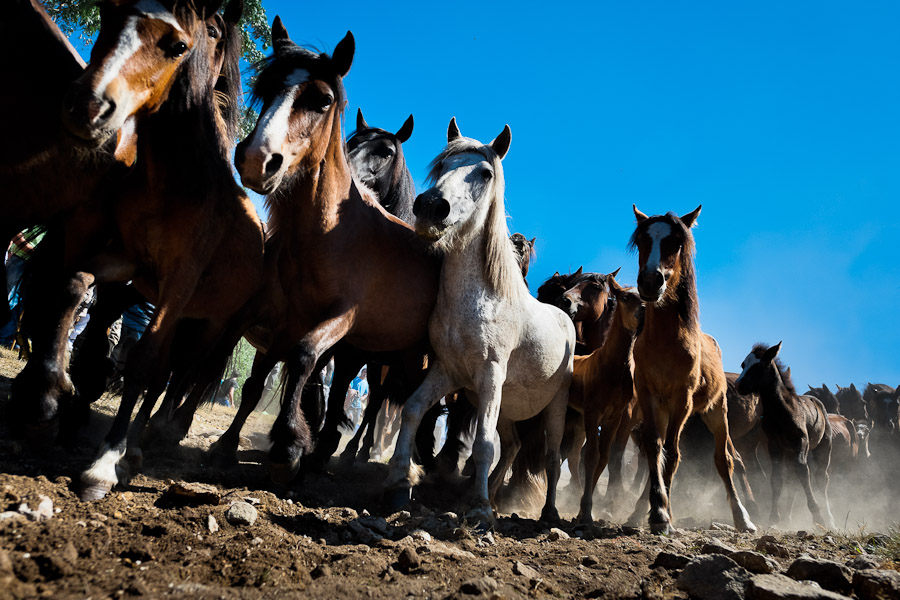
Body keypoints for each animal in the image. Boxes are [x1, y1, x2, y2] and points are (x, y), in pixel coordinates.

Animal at [384, 119, 572, 524]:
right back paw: (489, 494)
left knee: (550, 459)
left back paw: (545, 512)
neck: (482, 300)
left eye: (485, 173)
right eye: (441, 165)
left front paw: (481, 509)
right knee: (513, 446)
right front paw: (399, 481)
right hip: (508, 406)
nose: (432, 207)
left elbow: (483, 444)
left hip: (554, 408)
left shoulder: (490, 376)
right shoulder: (448, 371)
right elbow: (413, 409)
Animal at [628, 206, 756, 536]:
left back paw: (743, 518)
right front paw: (658, 510)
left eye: (675, 243)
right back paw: (638, 511)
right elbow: (654, 448)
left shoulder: (682, 400)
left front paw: (663, 515)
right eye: (642, 240)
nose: (650, 282)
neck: (665, 342)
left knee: (725, 460)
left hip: (716, 412)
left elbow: (673, 454)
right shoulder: (648, 396)